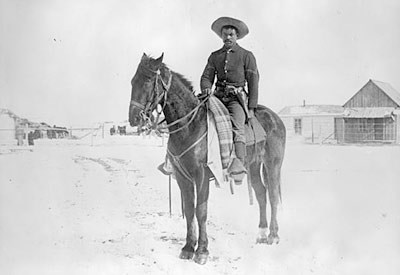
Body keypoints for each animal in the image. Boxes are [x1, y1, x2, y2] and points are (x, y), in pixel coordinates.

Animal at [128, 52, 284, 266]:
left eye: (148, 80)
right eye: (133, 81)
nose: (134, 118)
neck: (190, 124)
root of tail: (276, 119)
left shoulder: (201, 175)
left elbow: (201, 211)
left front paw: (202, 251)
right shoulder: (183, 177)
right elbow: (189, 210)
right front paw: (187, 248)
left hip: (272, 165)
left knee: (273, 195)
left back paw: (273, 236)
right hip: (253, 166)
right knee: (261, 193)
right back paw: (261, 234)